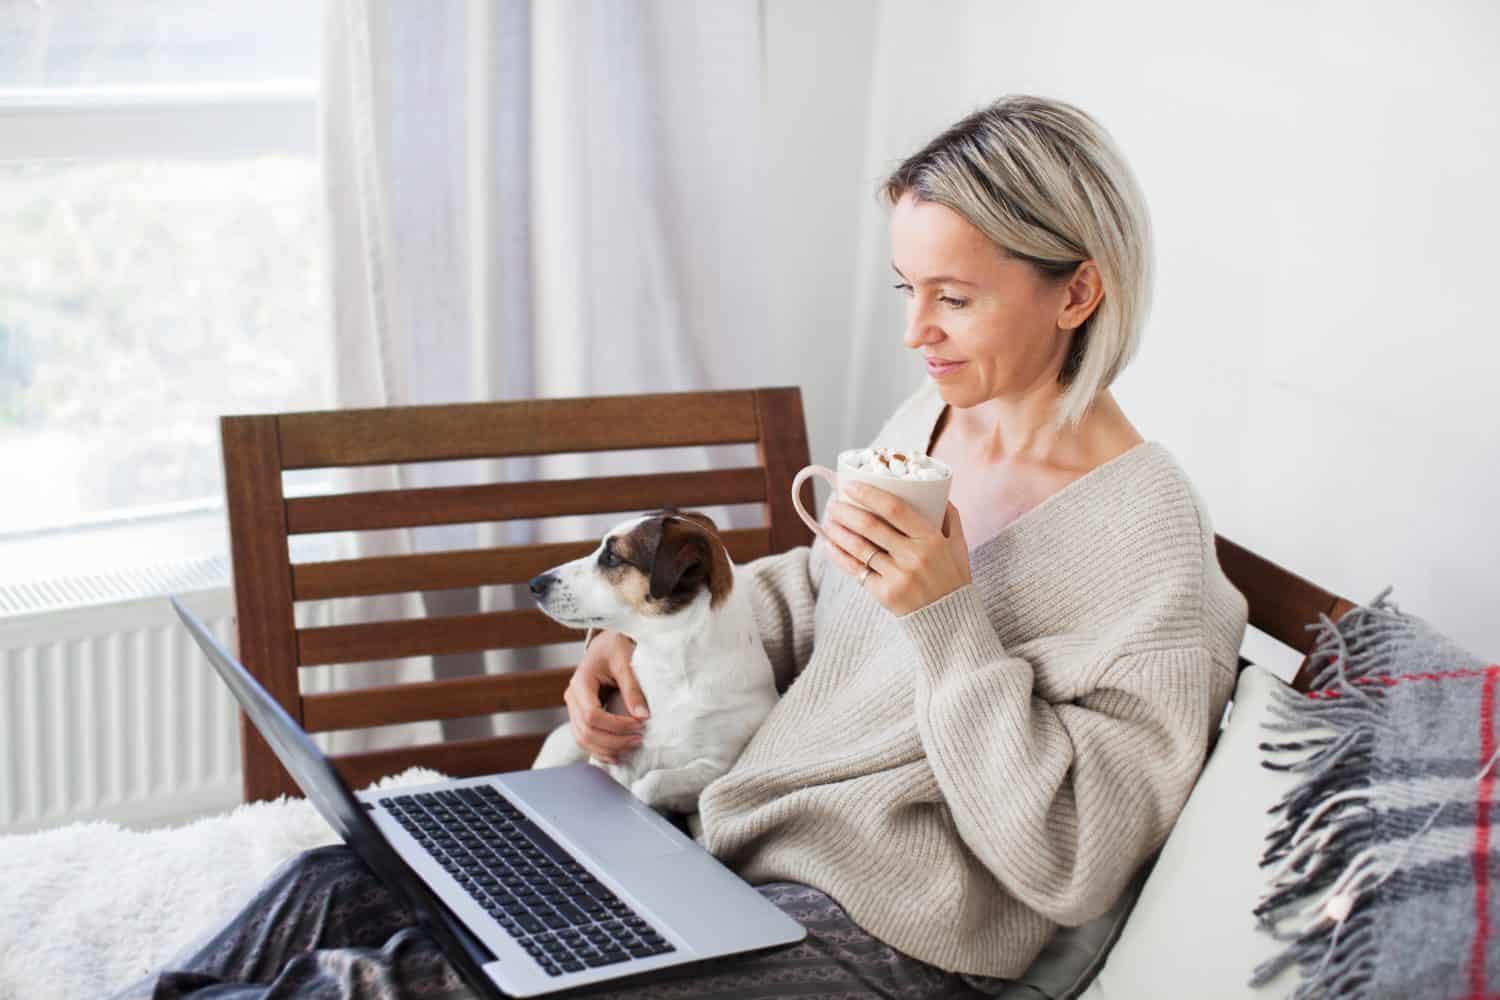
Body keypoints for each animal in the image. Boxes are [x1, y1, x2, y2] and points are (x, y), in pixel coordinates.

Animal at [528, 509, 780, 815]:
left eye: (612, 557)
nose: (534, 584)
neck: (670, 672)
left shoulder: (716, 766)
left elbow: (648, 784)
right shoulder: (605, 752)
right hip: (562, 745)